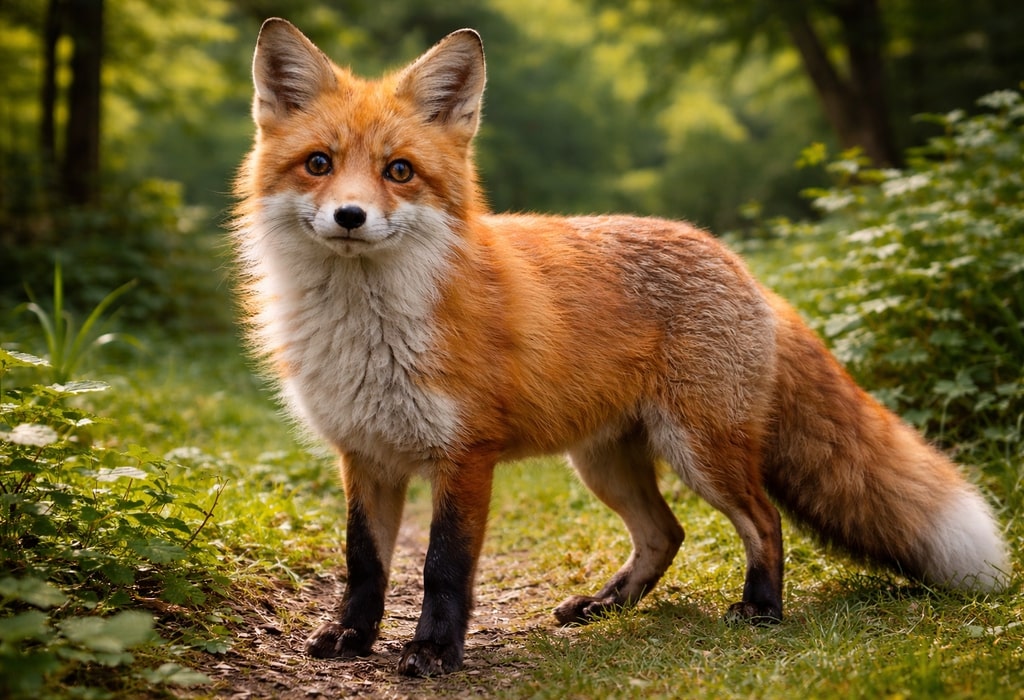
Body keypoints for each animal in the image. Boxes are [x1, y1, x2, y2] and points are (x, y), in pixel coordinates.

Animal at [231, 18, 1010, 677]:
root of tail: (742, 267)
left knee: (763, 520)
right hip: (605, 462)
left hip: (702, 452)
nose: (350, 216)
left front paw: (433, 651)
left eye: (399, 171)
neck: (370, 333)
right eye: (319, 163)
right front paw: (350, 635)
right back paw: (606, 605)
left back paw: (762, 608)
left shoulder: (465, 456)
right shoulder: (364, 454)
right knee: (667, 533)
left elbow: (442, 568)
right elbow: (365, 563)